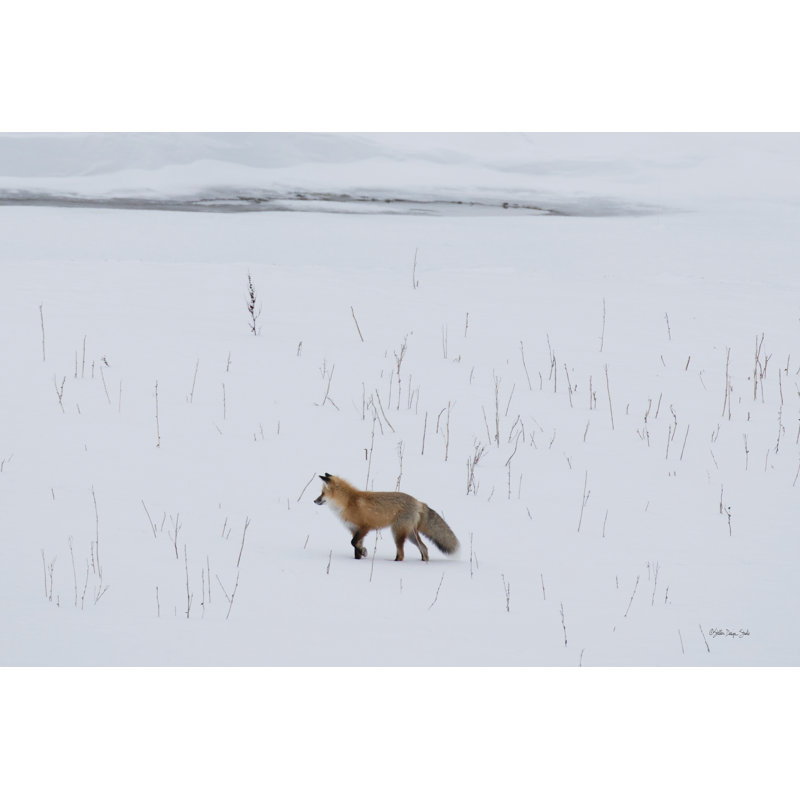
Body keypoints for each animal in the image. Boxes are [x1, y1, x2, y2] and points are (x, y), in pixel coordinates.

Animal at [314, 473, 459, 561]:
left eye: (322, 493)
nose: (314, 501)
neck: (349, 502)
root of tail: (418, 502)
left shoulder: (365, 527)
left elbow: (353, 543)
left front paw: (364, 552)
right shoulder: (354, 530)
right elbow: (355, 548)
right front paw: (358, 559)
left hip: (397, 533)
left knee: (401, 554)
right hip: (410, 534)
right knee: (424, 548)